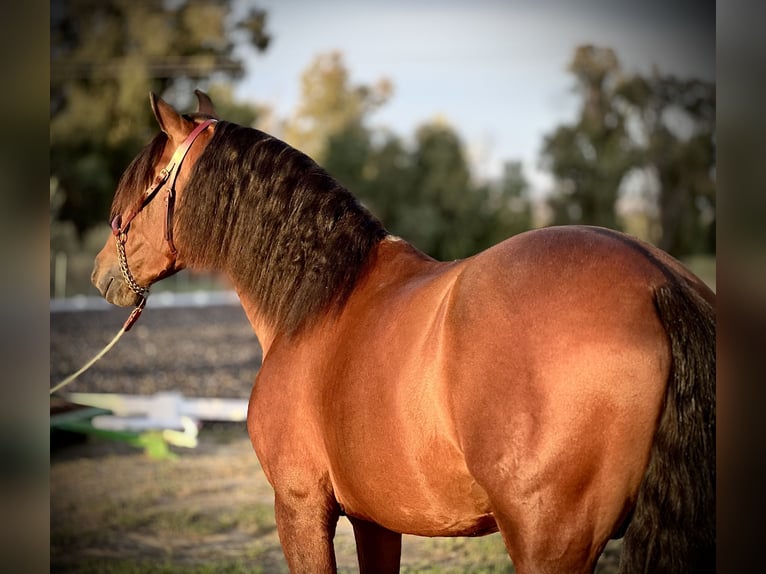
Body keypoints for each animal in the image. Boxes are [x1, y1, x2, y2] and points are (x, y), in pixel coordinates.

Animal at [93, 92, 716, 572]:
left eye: (141, 187)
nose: (101, 274)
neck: (320, 301)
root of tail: (659, 280)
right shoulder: (375, 519)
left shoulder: (299, 507)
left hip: (550, 542)